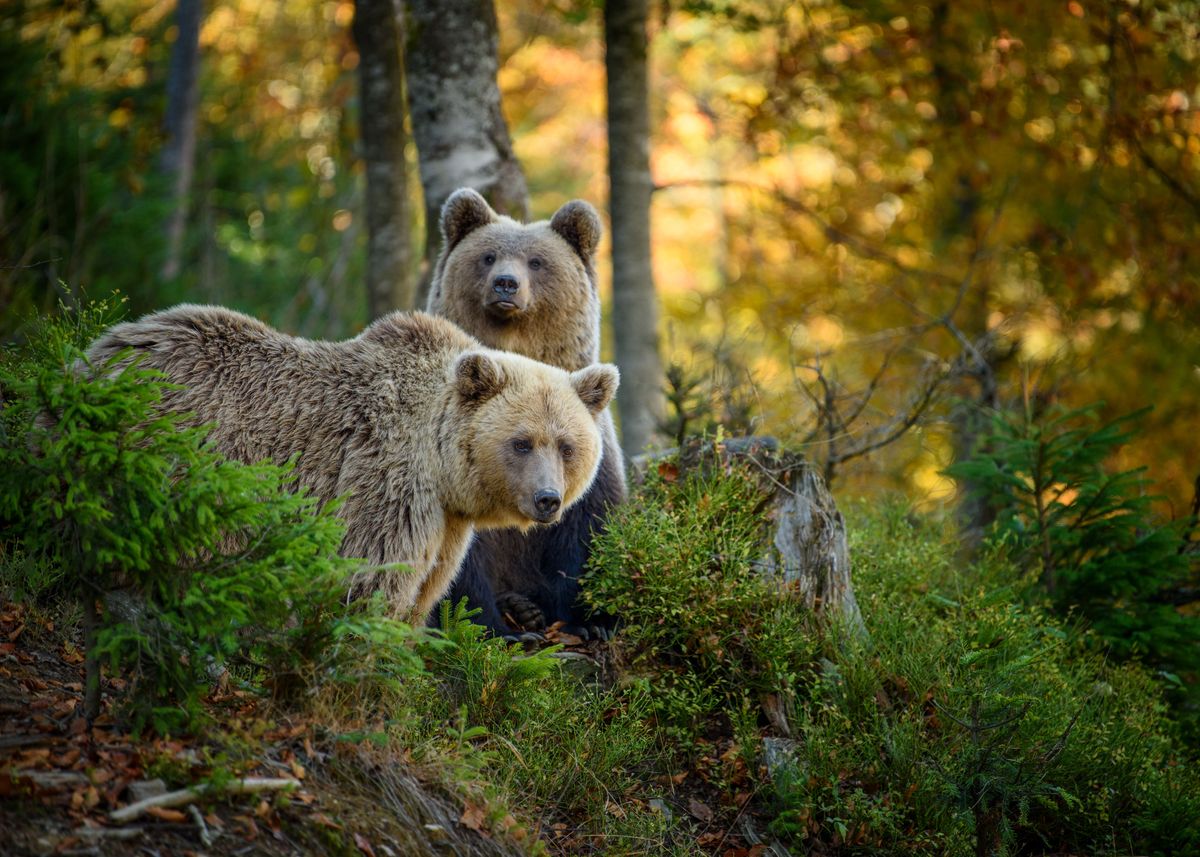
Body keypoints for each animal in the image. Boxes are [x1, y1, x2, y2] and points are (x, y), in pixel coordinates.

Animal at [87, 304, 619, 619]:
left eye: (567, 445)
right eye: (521, 442)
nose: (547, 499)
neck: (441, 463)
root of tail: (100, 353)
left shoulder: (446, 525)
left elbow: (426, 588)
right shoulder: (387, 479)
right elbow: (372, 576)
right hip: (178, 453)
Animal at [424, 187, 628, 638]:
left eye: (536, 261)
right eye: (488, 257)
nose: (506, 283)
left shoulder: (592, 448)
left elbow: (588, 525)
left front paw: (592, 622)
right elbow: (461, 560)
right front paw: (494, 628)